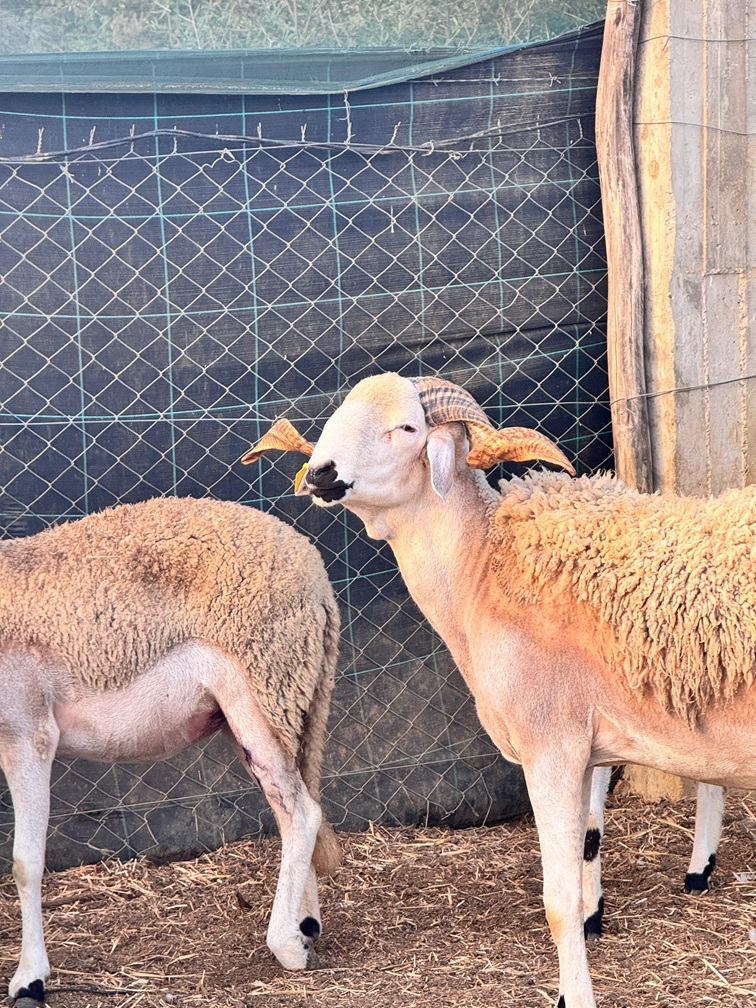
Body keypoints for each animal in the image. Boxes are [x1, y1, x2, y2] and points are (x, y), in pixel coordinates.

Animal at [0, 495, 341, 1003]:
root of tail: (316, 574)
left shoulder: (27, 730)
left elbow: (26, 862)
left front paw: (30, 978)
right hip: (278, 700)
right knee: (296, 804)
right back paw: (306, 927)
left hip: (262, 684)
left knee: (301, 813)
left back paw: (287, 946)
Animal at [243, 372, 756, 1008]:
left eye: (407, 427)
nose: (319, 474)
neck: (482, 564)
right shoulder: (588, 751)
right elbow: (588, 847)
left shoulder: (552, 748)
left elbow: (559, 903)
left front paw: (576, 992)